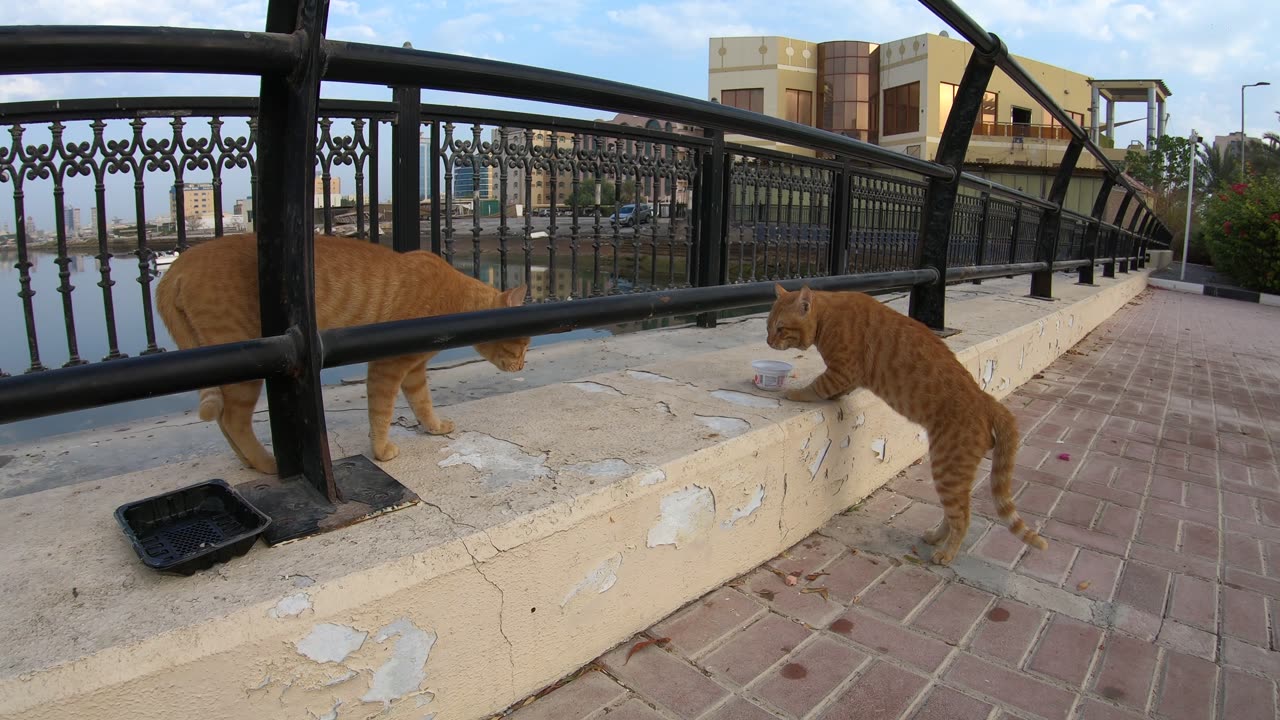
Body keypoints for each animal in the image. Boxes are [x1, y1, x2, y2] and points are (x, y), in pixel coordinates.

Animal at [156, 233, 529, 474]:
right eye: (524, 344)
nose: (523, 364)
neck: (458, 303)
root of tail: (176, 267)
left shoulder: (413, 373)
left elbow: (423, 403)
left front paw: (435, 427)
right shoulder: (387, 367)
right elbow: (381, 412)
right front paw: (380, 451)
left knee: (223, 419)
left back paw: (249, 463)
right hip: (248, 362)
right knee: (234, 419)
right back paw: (267, 465)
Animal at [762, 283, 1044, 563]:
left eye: (780, 328)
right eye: (767, 326)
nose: (768, 341)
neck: (827, 315)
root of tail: (987, 400)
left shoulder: (842, 371)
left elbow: (816, 387)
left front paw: (794, 393)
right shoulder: (847, 378)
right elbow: (836, 391)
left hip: (947, 467)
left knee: (962, 516)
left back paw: (946, 553)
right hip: (952, 474)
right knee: (955, 511)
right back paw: (935, 537)